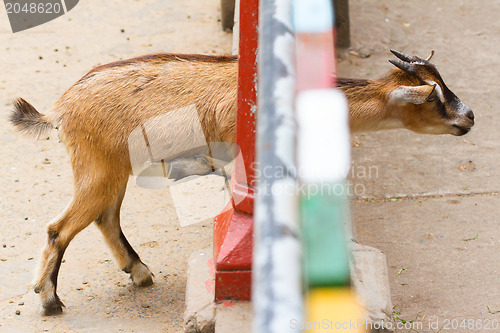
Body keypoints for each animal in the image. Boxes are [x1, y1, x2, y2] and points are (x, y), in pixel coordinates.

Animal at [9, 49, 474, 314]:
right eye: (434, 96)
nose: (468, 117)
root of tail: (60, 109)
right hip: (97, 167)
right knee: (59, 228)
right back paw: (50, 301)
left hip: (110, 170)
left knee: (105, 218)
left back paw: (139, 273)